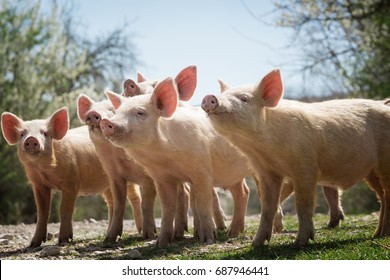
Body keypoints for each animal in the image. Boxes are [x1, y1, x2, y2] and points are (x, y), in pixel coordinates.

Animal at [0, 107, 143, 247]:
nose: (31, 139)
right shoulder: (38, 185)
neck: (44, 170)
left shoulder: (72, 181)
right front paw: (33, 244)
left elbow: (64, 209)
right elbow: (42, 213)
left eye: (45, 133)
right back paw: (108, 235)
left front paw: (64, 240)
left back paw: (140, 230)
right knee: (111, 202)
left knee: (135, 197)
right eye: (22, 134)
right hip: (107, 183)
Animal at [99, 77, 254, 246]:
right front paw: (161, 243)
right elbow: (168, 208)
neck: (166, 158)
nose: (106, 122)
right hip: (233, 173)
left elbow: (202, 205)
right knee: (243, 192)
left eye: (140, 112)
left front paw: (208, 240)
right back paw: (233, 233)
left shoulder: (202, 172)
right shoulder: (162, 178)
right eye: (117, 112)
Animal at [201, 68, 390, 247]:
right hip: (371, 171)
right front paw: (256, 244)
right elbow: (267, 207)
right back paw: (378, 234)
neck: (262, 149)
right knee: (382, 197)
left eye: (244, 98)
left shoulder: (306, 167)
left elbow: (303, 204)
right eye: (223, 94)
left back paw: (382, 235)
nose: (210, 97)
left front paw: (300, 243)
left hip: (384, 161)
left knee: (387, 194)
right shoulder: (266, 171)